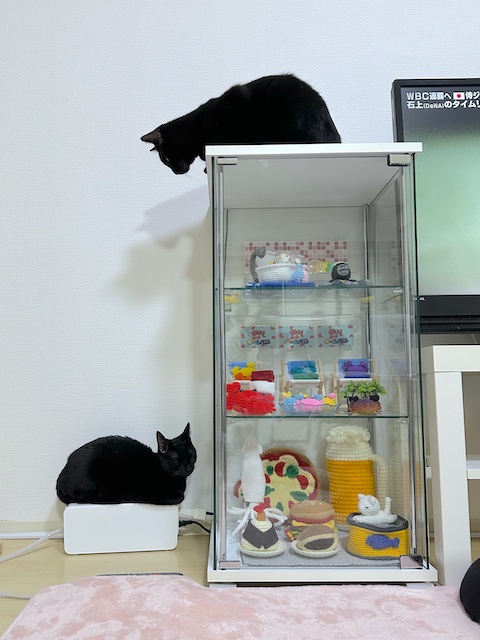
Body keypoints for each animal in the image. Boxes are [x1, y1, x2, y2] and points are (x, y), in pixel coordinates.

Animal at [56, 423, 196, 506]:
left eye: (191, 454)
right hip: (97, 455)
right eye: (177, 459)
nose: (188, 467)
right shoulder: (151, 492)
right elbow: (180, 496)